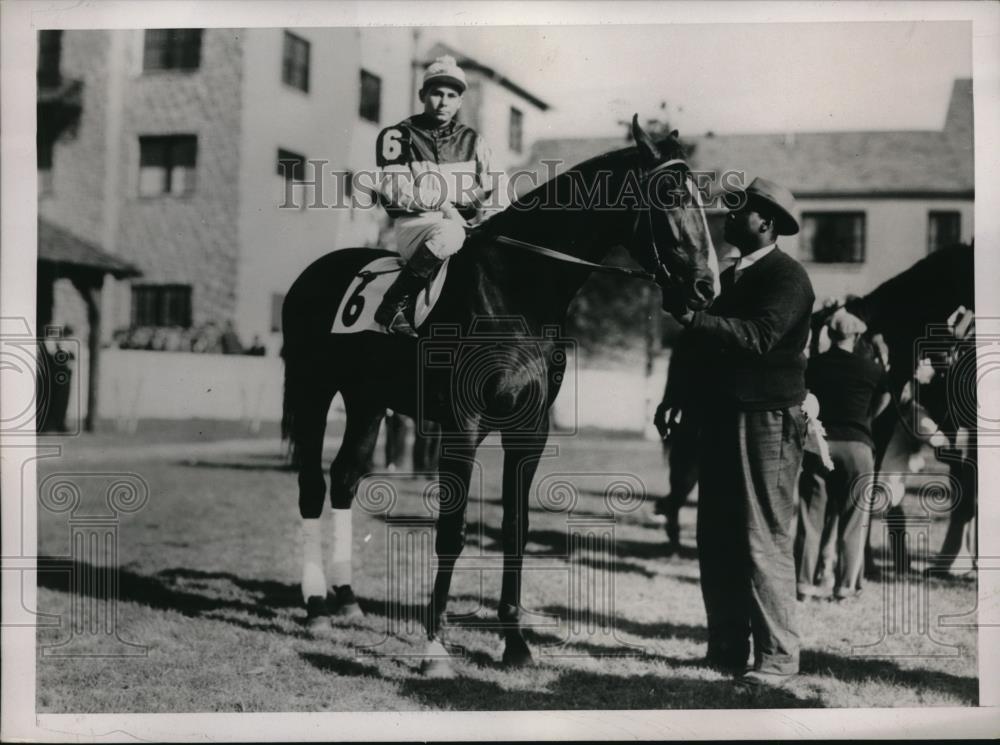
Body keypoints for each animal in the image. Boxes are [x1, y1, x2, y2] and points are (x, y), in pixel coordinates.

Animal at [282, 117, 720, 676]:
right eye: (671, 194)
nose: (707, 288)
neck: (515, 289)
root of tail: (315, 272)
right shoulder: (462, 426)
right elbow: (452, 531)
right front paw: (434, 648)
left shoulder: (530, 429)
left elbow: (516, 527)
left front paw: (516, 644)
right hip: (314, 390)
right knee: (312, 487)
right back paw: (316, 604)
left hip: (366, 402)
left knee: (343, 479)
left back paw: (346, 599)